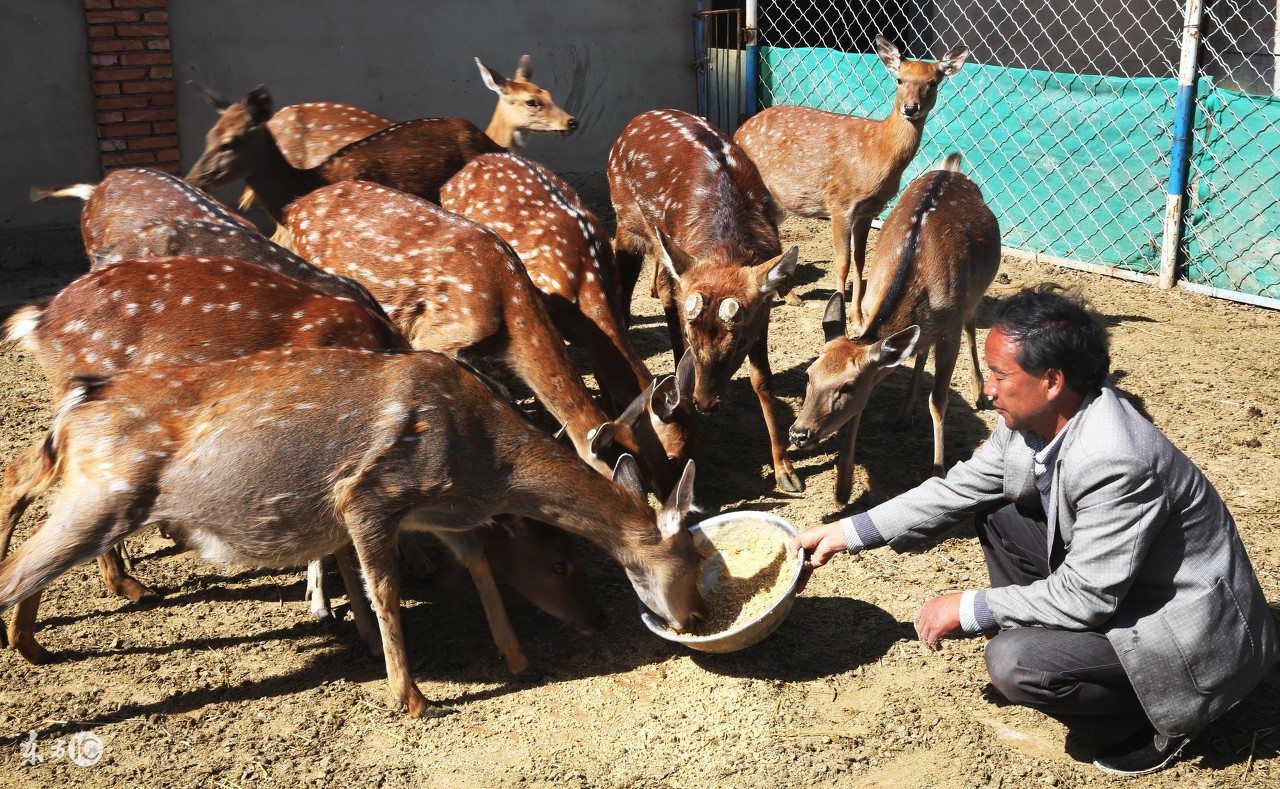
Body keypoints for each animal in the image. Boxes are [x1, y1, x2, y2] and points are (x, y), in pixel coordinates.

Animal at [0, 348, 706, 717]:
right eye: (560, 564)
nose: (698, 616)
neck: (485, 467)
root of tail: (75, 405)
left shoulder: (444, 516)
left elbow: (479, 563)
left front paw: (516, 657)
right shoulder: (368, 496)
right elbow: (385, 591)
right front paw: (410, 697)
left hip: (87, 492)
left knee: (28, 514)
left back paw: (29, 644)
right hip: (105, 492)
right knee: (17, 555)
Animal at [286, 181, 696, 496]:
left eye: (657, 455)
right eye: (668, 456)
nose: (668, 496)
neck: (506, 308)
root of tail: (293, 207)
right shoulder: (435, 336)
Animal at [606, 107, 798, 489]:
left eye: (739, 342)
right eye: (692, 334)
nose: (705, 404)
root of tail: (635, 120)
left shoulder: (764, 310)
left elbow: (763, 380)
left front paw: (785, 469)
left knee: (664, 288)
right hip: (627, 219)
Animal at [732, 33, 967, 330]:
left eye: (933, 82)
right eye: (899, 79)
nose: (910, 108)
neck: (878, 154)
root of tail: (738, 131)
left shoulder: (868, 210)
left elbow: (859, 261)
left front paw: (857, 317)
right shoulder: (839, 202)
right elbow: (842, 262)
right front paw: (839, 317)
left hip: (779, 203)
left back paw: (791, 296)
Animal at [788, 152, 998, 499]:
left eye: (848, 386)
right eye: (808, 375)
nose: (798, 433)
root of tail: (951, 168)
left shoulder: (950, 330)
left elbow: (938, 401)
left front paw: (938, 473)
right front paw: (843, 485)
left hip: (975, 293)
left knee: (971, 325)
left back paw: (979, 391)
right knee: (921, 348)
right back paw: (904, 413)